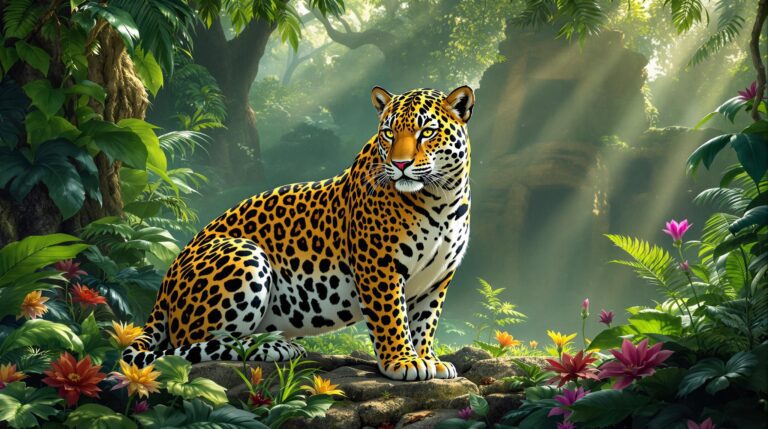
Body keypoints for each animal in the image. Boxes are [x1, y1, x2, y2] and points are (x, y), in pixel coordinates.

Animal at [124, 85, 475, 381]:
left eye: (426, 132)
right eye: (388, 133)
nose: (400, 165)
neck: (439, 198)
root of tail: (165, 283)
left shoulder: (437, 278)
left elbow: (424, 322)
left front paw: (429, 359)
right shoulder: (378, 267)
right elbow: (392, 318)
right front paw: (403, 362)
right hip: (244, 253)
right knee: (196, 344)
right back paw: (274, 347)